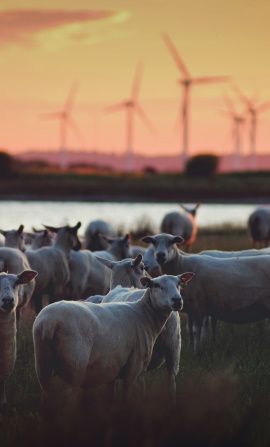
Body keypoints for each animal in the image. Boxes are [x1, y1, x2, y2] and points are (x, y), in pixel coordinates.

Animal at [33, 272, 194, 408]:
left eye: (179, 283)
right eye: (157, 285)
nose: (177, 300)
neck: (145, 314)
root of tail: (49, 323)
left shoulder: (112, 366)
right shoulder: (134, 368)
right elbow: (128, 398)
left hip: (42, 364)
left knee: (45, 395)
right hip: (74, 365)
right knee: (69, 396)